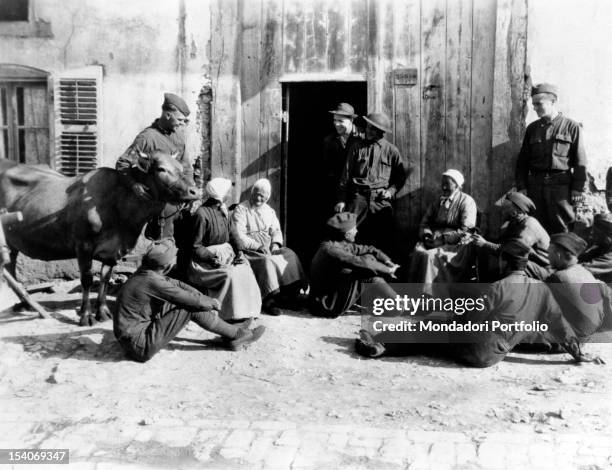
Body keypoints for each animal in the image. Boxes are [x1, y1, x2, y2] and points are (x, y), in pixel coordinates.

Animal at [0, 151, 198, 326]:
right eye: (161, 169)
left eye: (181, 167)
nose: (194, 191)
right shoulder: (83, 246)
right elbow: (87, 280)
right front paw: (86, 315)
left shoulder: (113, 250)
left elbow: (105, 278)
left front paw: (102, 312)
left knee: (10, 267)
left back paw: (25, 302)